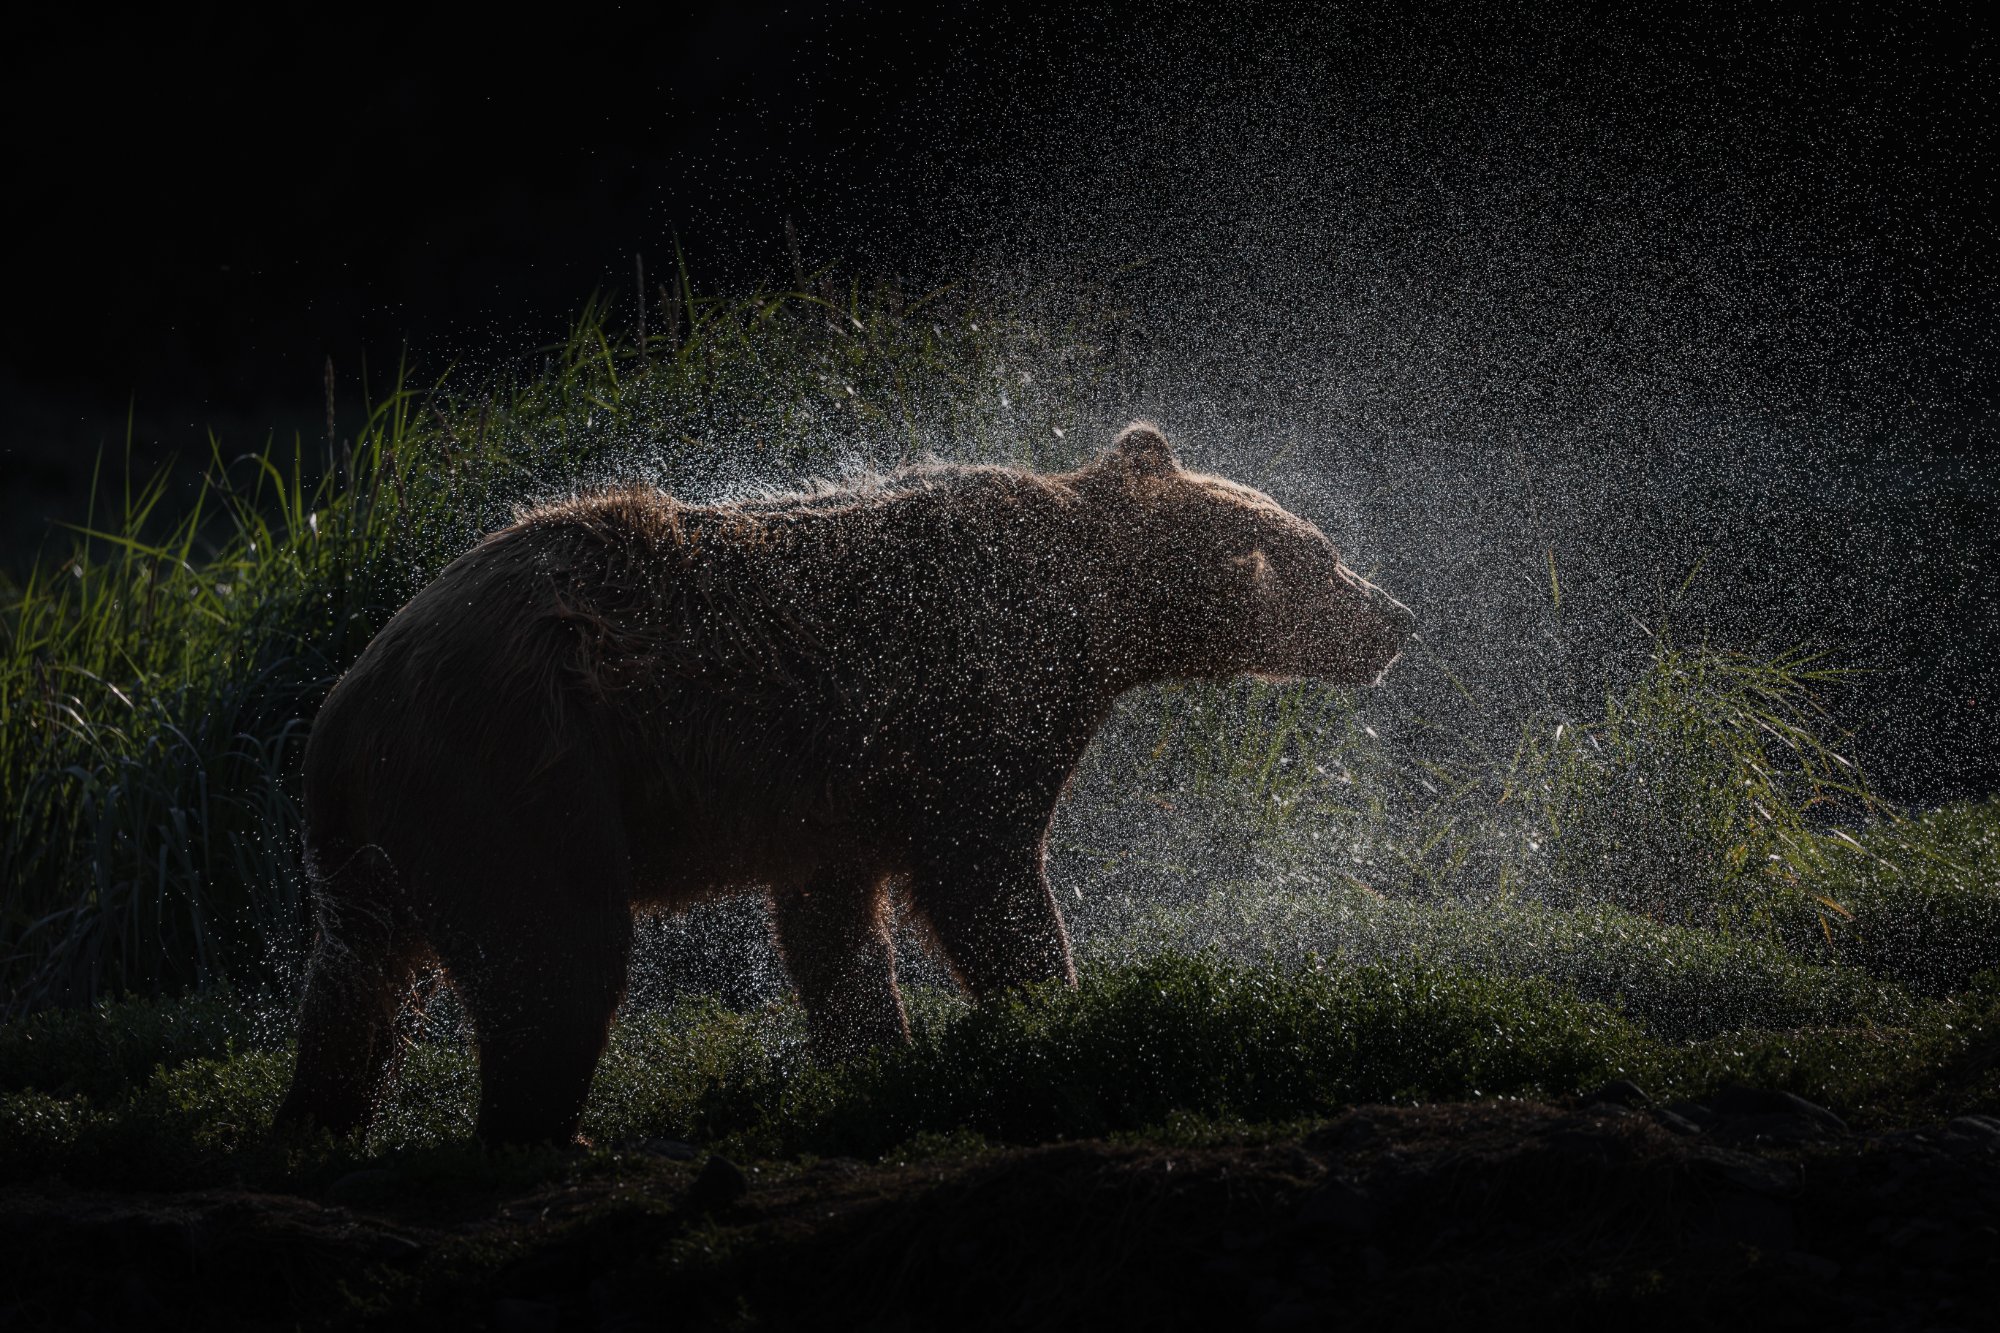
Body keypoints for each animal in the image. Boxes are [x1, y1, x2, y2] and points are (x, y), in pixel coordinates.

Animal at [275, 422, 1413, 1144]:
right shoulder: (970, 690)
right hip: (522, 767)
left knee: (356, 986)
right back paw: (543, 1129)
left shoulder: (837, 794)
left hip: (385, 841)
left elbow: (832, 925)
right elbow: (983, 872)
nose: (1397, 614)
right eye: (1320, 552)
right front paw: (1060, 1015)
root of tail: (346, 707)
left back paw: (317, 1126)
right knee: (550, 951)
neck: (1096, 614)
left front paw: (877, 1057)